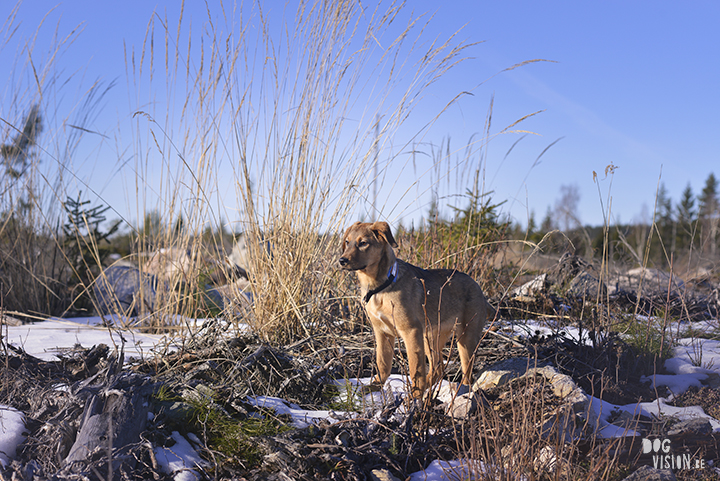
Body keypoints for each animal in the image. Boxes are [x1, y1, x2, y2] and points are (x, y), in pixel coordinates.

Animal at [340, 221, 492, 398]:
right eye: (347, 242)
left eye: (363, 243)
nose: (342, 260)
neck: (380, 287)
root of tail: (478, 287)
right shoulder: (382, 332)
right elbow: (383, 363)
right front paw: (374, 387)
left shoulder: (411, 331)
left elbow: (415, 368)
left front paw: (415, 396)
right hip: (432, 337)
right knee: (438, 367)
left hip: (466, 337)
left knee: (467, 372)